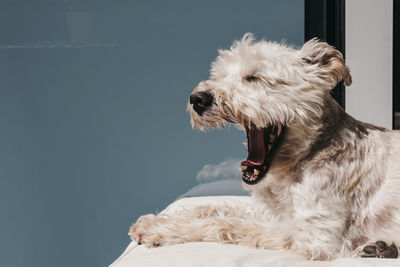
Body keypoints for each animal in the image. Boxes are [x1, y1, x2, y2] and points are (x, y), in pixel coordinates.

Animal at [129, 34, 400, 262]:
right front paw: (155, 220)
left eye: (254, 78)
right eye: (219, 76)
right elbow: (216, 207)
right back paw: (380, 249)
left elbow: (225, 223)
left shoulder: (314, 237)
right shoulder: (274, 213)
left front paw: (157, 229)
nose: (198, 99)